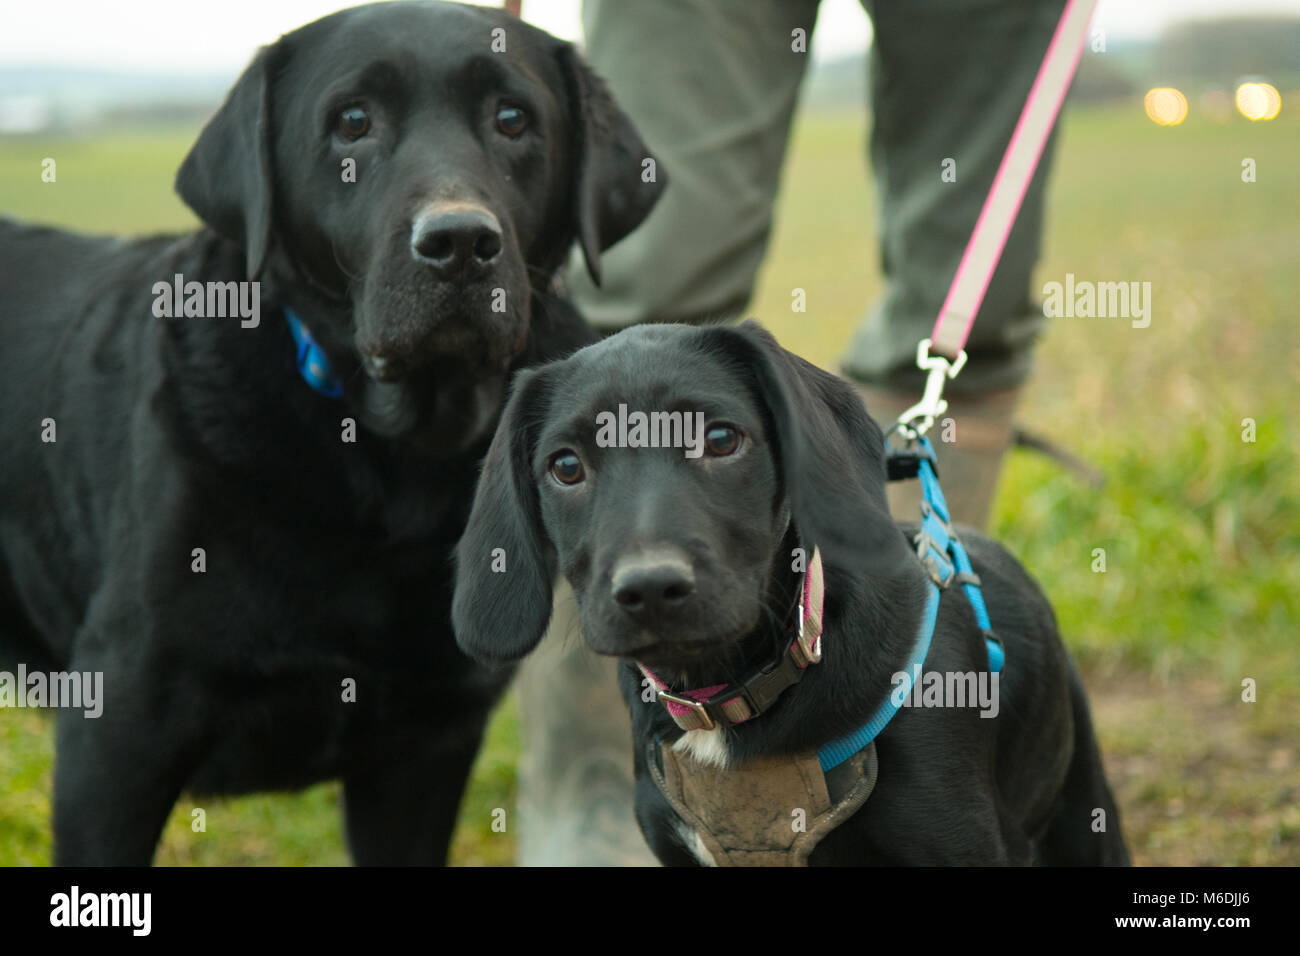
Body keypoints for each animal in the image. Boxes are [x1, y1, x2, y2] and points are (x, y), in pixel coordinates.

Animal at [0, 0, 665, 868]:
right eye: (352, 121)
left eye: (513, 118)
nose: (459, 242)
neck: (393, 460)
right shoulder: (117, 737)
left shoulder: (427, 748)